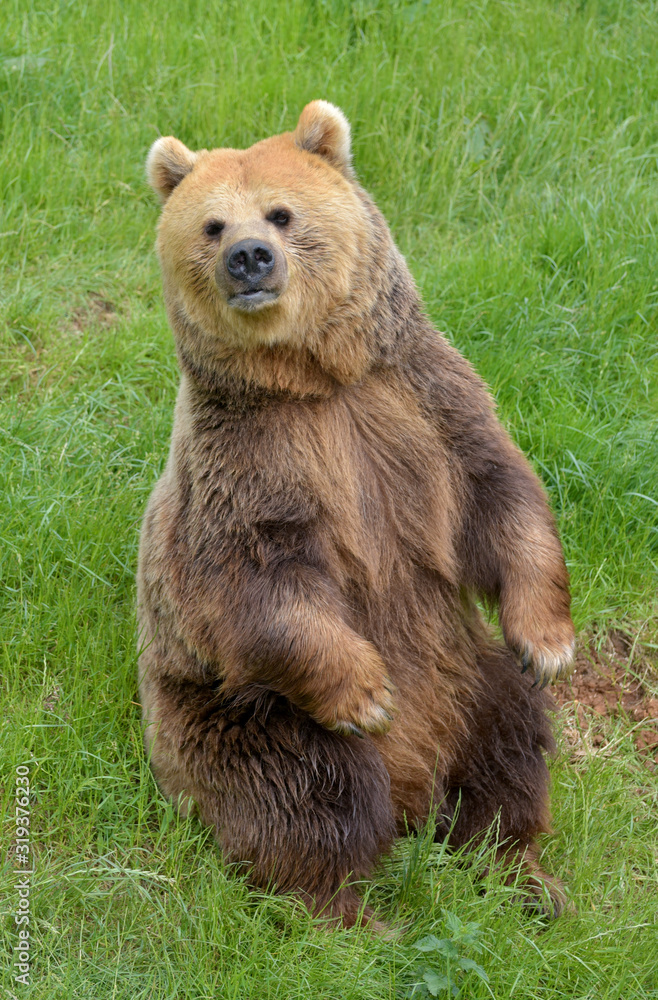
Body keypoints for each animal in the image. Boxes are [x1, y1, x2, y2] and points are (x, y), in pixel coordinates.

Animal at [137, 100, 576, 929]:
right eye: (212, 224)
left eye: (280, 212)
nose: (249, 257)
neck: (314, 378)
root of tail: (414, 790)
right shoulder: (249, 462)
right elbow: (256, 578)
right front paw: (368, 694)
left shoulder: (423, 405)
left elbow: (501, 496)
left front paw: (549, 642)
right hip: (236, 715)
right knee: (307, 797)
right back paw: (353, 913)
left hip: (466, 667)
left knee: (509, 747)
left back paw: (527, 875)